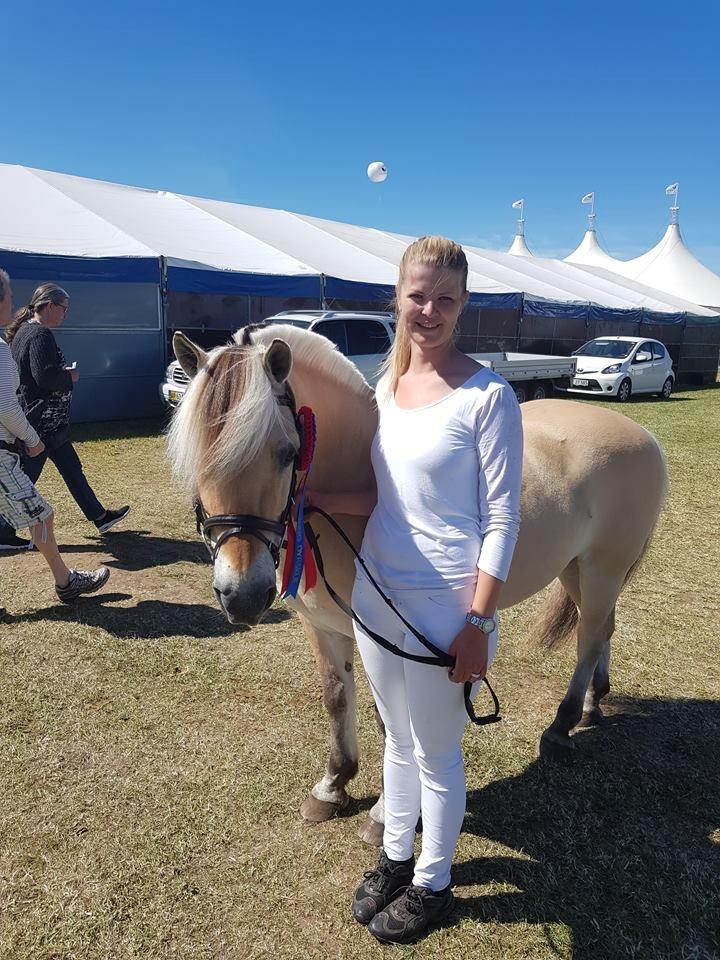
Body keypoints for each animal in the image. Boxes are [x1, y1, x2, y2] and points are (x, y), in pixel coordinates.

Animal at [166, 324, 668, 848]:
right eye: (195, 458)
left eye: (286, 453)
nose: (241, 596)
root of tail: (643, 436)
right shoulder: (323, 626)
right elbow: (336, 696)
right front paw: (333, 785)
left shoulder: (382, 636)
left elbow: (392, 721)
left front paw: (387, 815)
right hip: (576, 569)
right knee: (604, 627)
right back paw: (593, 704)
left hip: (602, 568)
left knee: (589, 638)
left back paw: (562, 724)